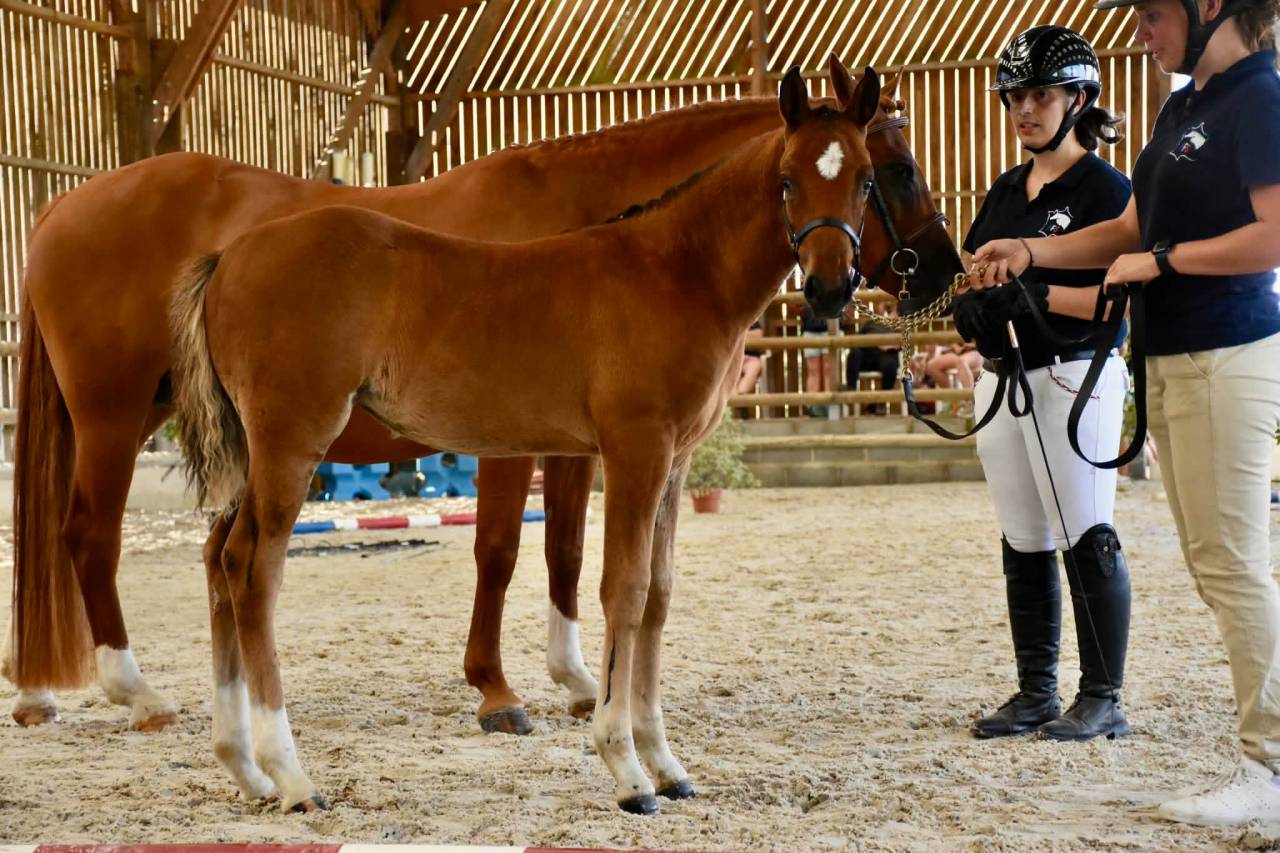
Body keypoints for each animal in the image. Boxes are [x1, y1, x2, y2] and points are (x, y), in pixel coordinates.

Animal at [8, 63, 961, 733]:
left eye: (875, 171)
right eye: (901, 167)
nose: (942, 272)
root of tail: (59, 207)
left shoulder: (578, 441)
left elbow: (567, 554)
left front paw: (578, 680)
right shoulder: (513, 442)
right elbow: (500, 552)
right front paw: (498, 690)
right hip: (116, 418)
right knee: (89, 538)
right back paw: (134, 690)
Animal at [170, 59, 886, 815]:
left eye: (866, 177)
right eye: (787, 178)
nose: (831, 288)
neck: (676, 270)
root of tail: (228, 258)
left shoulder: (677, 461)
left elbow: (659, 596)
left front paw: (667, 763)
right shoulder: (636, 450)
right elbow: (624, 590)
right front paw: (627, 768)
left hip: (254, 456)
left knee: (220, 559)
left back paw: (244, 766)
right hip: (291, 445)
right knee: (254, 570)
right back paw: (292, 775)